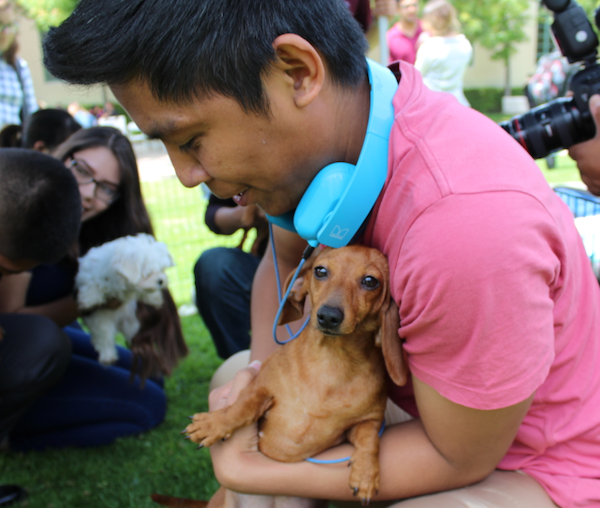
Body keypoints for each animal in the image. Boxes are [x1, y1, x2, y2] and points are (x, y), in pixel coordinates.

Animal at [75, 234, 173, 366]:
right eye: (148, 274)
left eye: (162, 270)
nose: (161, 281)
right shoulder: (90, 272)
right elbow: (91, 283)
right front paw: (90, 299)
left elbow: (144, 292)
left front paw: (155, 298)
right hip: (101, 322)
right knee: (104, 338)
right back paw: (108, 356)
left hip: (130, 322)